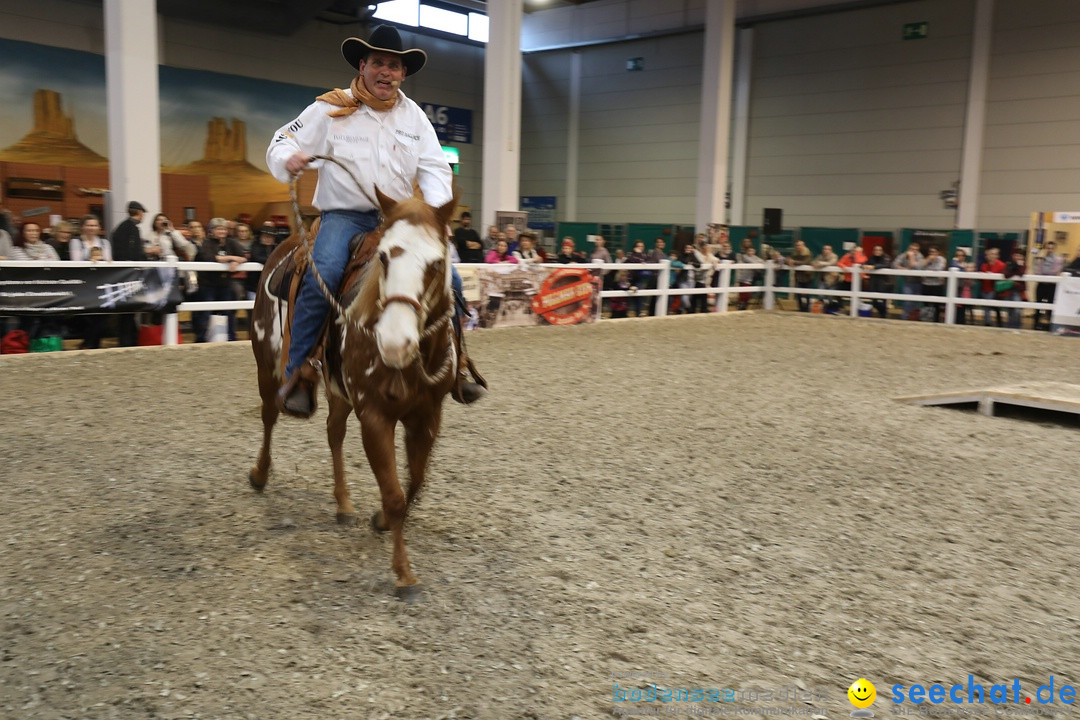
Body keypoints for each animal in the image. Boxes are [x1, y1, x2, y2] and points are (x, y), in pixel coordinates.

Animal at [248, 189, 455, 595]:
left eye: (437, 262)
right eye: (384, 257)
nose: (394, 342)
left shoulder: (427, 417)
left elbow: (413, 483)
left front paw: (380, 520)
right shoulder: (374, 417)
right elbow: (394, 494)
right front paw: (404, 573)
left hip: (337, 391)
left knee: (334, 432)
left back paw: (343, 503)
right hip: (267, 367)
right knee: (269, 415)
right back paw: (260, 474)